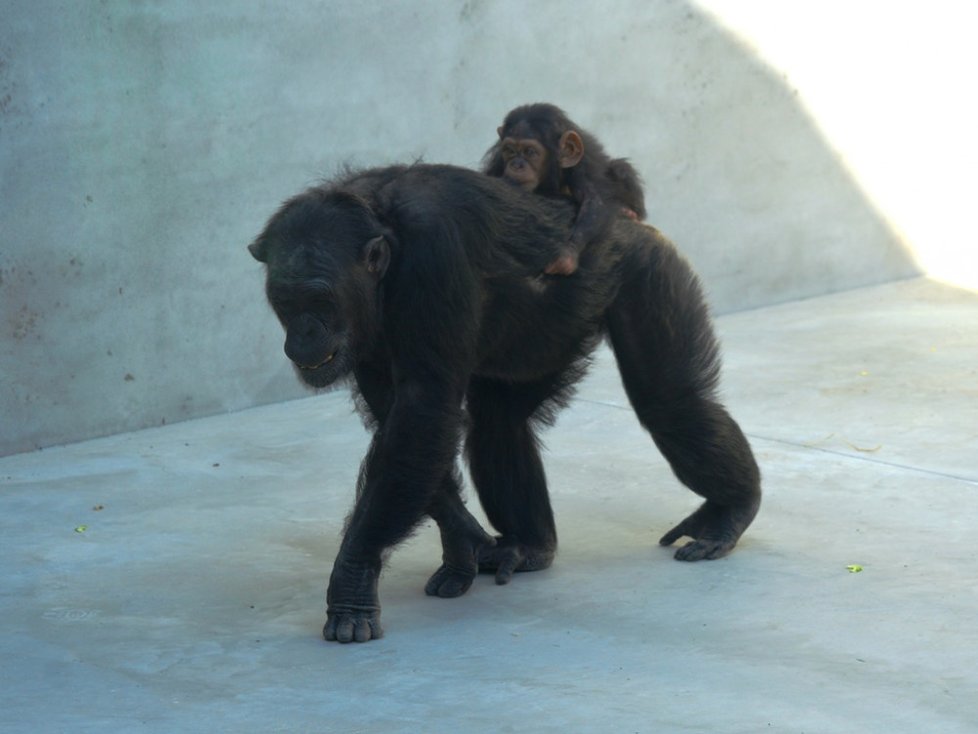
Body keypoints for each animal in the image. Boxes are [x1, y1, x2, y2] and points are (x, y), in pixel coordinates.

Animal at [248, 162, 760, 644]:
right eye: (284, 299)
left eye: (319, 297)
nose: (304, 333)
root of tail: (630, 221)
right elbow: (403, 425)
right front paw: (462, 541)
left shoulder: (435, 259)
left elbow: (422, 411)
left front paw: (352, 580)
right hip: (541, 338)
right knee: (499, 424)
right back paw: (530, 545)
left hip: (645, 270)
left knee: (672, 403)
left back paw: (729, 512)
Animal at [482, 103, 648, 276]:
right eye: (510, 150)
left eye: (530, 152)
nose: (516, 164)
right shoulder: (498, 162)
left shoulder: (582, 166)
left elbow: (594, 201)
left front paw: (567, 254)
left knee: (621, 169)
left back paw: (627, 210)